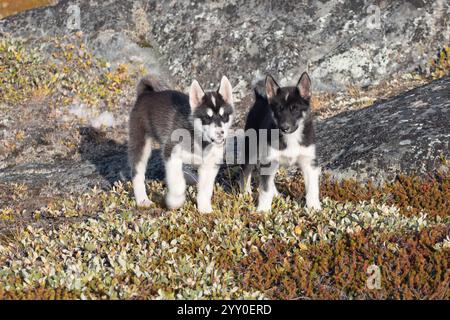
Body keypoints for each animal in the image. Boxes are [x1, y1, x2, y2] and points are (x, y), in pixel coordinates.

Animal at [128, 74, 234, 214]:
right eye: (207, 118)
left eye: (224, 116)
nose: (220, 133)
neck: (200, 142)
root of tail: (145, 94)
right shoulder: (171, 153)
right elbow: (178, 184)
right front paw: (174, 202)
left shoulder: (210, 165)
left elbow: (205, 190)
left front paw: (204, 210)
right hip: (141, 143)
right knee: (137, 173)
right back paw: (142, 200)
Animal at [241, 73, 322, 212]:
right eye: (279, 109)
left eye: (294, 109)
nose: (285, 127)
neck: (291, 138)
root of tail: (260, 98)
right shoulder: (270, 160)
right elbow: (265, 189)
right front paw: (263, 211)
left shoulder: (309, 162)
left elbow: (312, 189)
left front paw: (314, 208)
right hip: (251, 151)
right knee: (246, 172)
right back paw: (246, 193)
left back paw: (276, 194)